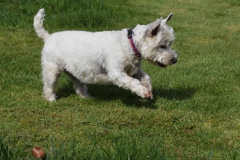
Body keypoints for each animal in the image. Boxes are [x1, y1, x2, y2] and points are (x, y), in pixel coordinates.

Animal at [33, 8, 176, 101]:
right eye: (163, 45)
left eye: (170, 43)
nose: (174, 60)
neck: (130, 44)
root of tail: (48, 36)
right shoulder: (117, 72)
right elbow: (133, 82)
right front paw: (144, 92)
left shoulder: (134, 70)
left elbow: (146, 77)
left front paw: (148, 88)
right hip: (52, 69)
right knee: (49, 86)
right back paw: (51, 99)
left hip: (75, 71)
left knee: (78, 85)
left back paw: (86, 97)